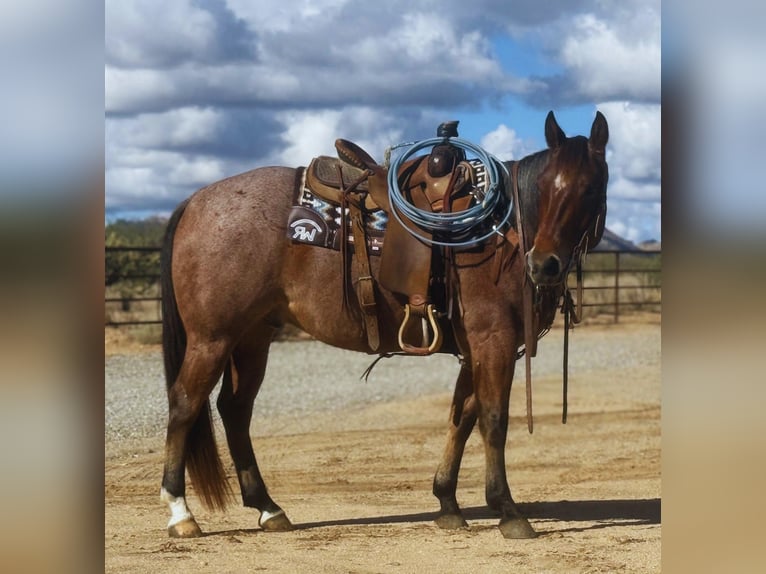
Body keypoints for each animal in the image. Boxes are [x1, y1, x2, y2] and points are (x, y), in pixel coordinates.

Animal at [158, 110, 609, 539]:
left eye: (591, 189)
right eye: (545, 186)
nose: (544, 264)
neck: (504, 234)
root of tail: (196, 201)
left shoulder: (473, 349)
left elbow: (461, 418)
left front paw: (447, 503)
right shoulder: (492, 341)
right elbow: (493, 420)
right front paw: (507, 510)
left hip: (251, 337)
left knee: (235, 410)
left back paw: (268, 508)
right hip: (212, 338)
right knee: (184, 404)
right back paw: (181, 513)